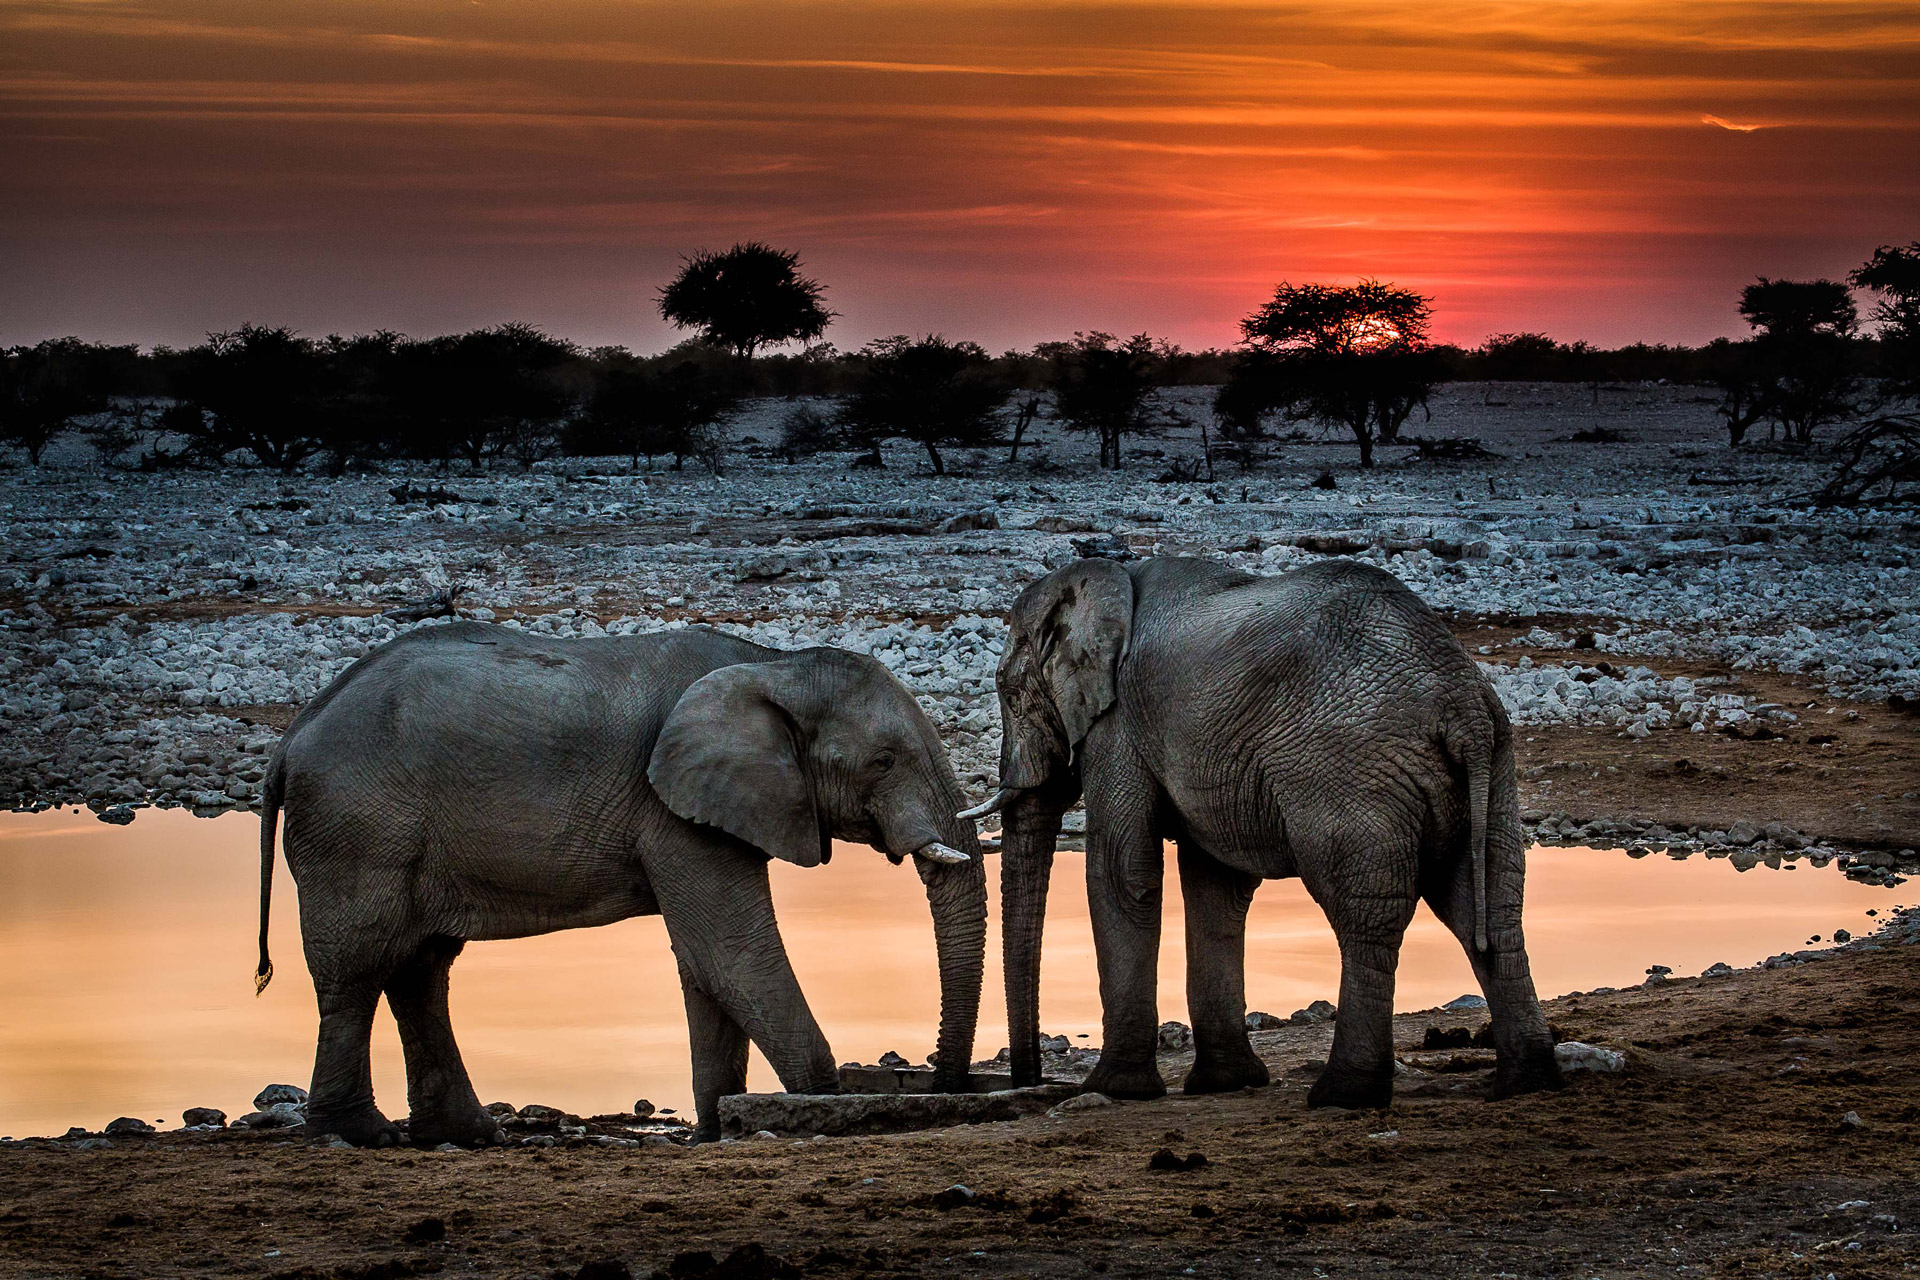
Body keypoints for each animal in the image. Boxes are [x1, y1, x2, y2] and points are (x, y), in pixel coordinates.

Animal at [251, 614, 990, 1143]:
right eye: (884, 761)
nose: (943, 1087)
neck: (771, 664)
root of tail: (291, 738)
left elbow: (705, 963)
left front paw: (717, 1127)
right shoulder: (673, 811)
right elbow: (732, 954)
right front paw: (817, 1109)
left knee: (420, 968)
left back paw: (465, 1136)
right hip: (356, 826)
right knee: (359, 967)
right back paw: (360, 1135)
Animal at [967, 560, 1566, 1113]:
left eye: (1007, 692)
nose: (1030, 1082)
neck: (1105, 579)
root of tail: (1461, 703)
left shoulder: (1119, 728)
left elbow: (1123, 873)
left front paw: (1116, 1090)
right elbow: (1214, 886)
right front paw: (1226, 1083)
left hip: (1347, 771)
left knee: (1368, 915)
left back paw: (1343, 1095)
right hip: (1494, 765)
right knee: (1488, 905)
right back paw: (1527, 1082)